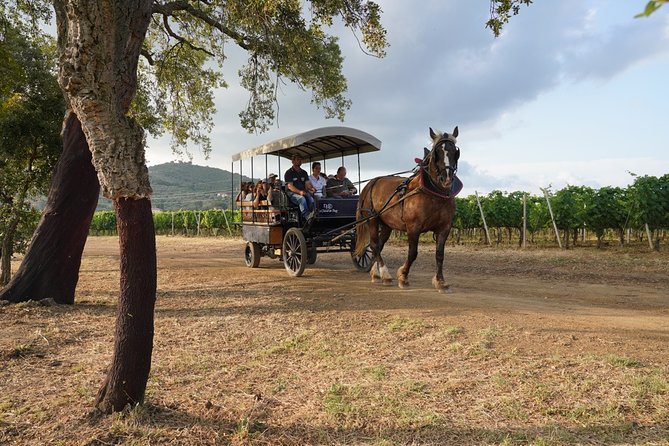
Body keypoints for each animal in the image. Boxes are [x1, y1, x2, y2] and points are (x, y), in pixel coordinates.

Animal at [354, 126, 460, 292]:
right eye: (437, 152)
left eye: (455, 151)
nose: (447, 179)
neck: (433, 193)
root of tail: (372, 182)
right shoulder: (413, 227)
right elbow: (412, 253)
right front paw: (403, 276)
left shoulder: (444, 228)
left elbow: (439, 254)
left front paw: (441, 282)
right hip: (372, 219)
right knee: (374, 245)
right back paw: (385, 274)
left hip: (387, 224)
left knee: (379, 245)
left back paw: (376, 273)